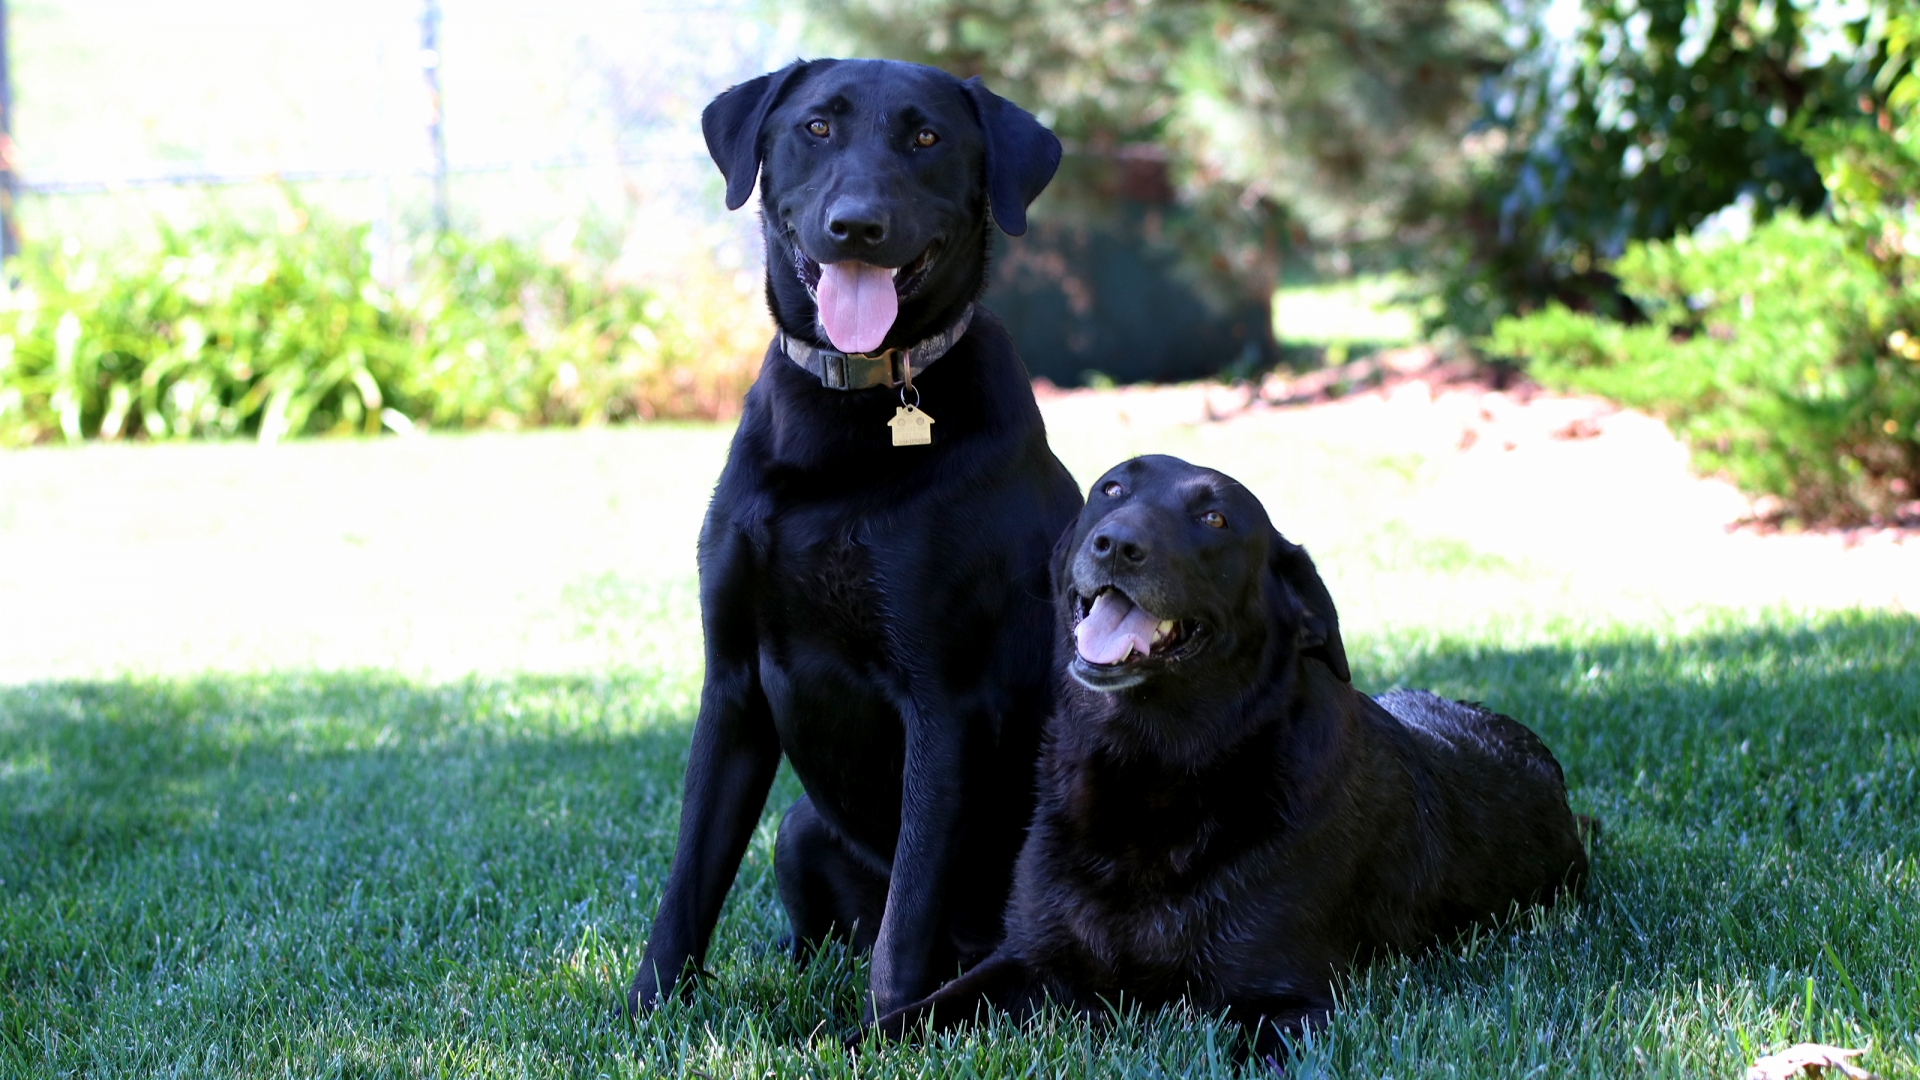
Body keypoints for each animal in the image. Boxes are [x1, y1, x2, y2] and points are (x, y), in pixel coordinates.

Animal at [625, 58, 1082, 1014]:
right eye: (817, 127)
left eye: (927, 137)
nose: (857, 227)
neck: (846, 412)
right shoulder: (732, 684)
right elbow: (689, 880)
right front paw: (646, 1010)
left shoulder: (943, 705)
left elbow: (907, 920)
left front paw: (887, 1029)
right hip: (800, 828)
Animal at [875, 455, 1589, 1053]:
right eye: (1111, 489)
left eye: (1214, 519)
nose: (1116, 544)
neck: (1148, 768)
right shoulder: (1023, 960)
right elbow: (900, 1023)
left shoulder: (1285, 1003)